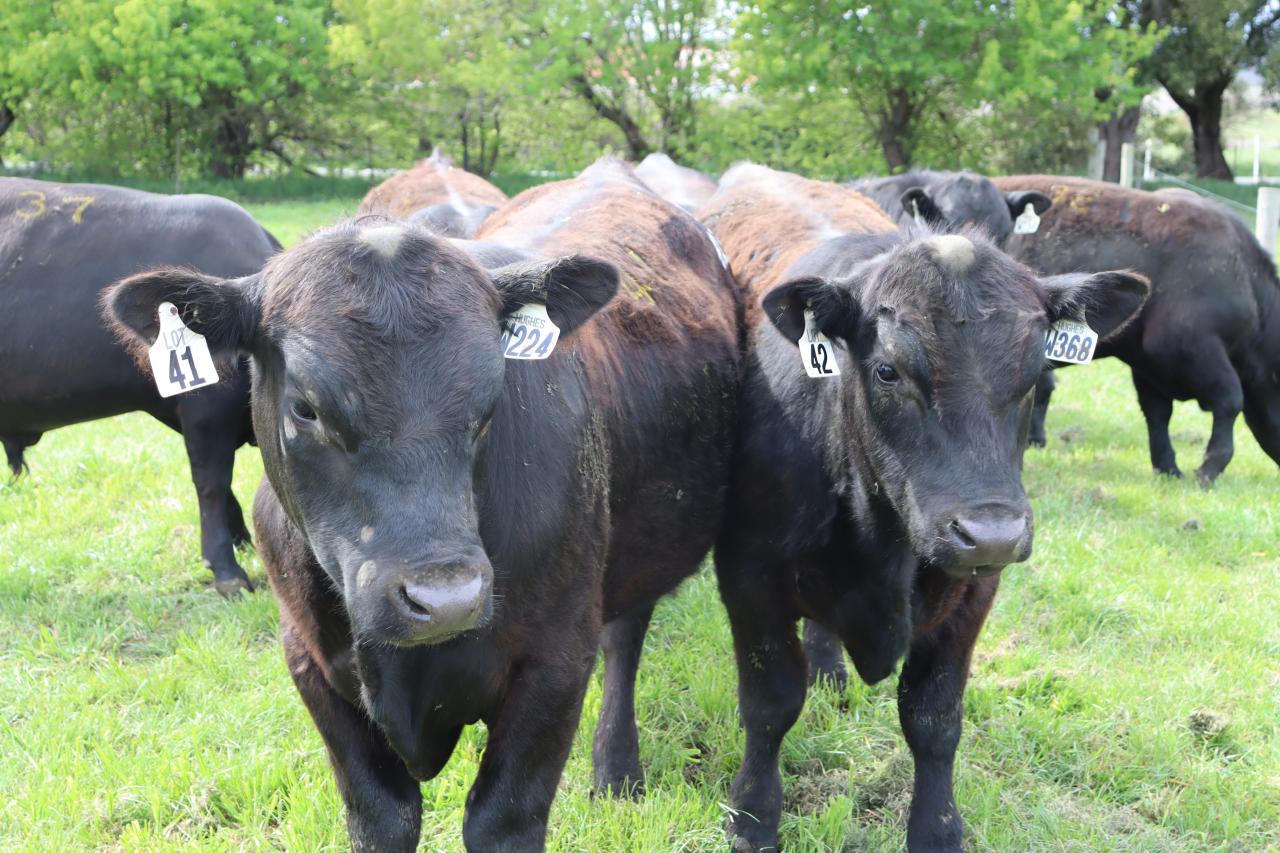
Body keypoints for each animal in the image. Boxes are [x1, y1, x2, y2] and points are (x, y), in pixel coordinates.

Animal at [700, 164, 1148, 852]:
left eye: (1036, 369)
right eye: (887, 371)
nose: (992, 533)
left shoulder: (973, 591)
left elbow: (933, 718)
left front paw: (937, 828)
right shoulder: (750, 576)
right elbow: (770, 704)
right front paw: (752, 818)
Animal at [994, 176, 1280, 484]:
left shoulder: (1148, 361)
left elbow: (1157, 413)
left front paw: (1167, 467)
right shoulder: (1193, 347)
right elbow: (1229, 400)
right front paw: (1210, 468)